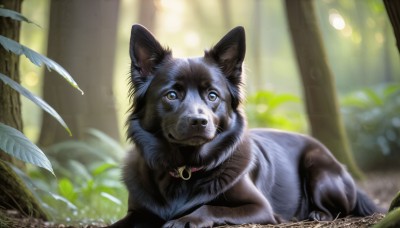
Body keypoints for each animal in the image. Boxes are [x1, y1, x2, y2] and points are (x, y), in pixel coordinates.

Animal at [111, 24, 382, 227]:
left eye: (212, 95)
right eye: (171, 95)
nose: (199, 121)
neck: (185, 169)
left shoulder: (260, 208)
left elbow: (210, 207)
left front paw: (184, 219)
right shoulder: (136, 212)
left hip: (318, 168)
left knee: (341, 208)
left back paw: (317, 213)